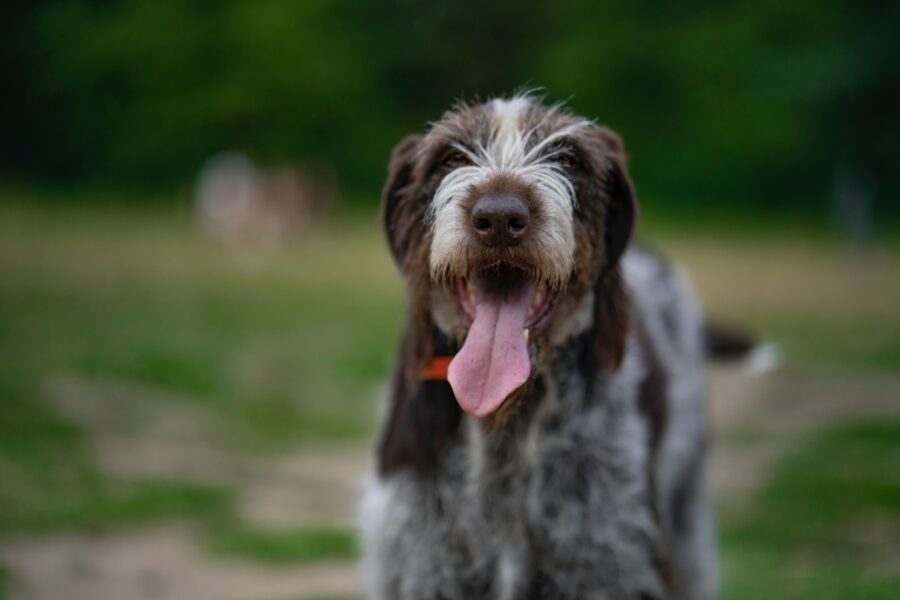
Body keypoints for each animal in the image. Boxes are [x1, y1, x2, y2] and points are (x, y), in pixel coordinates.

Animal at [360, 95, 752, 600]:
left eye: (567, 159)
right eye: (450, 158)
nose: (500, 218)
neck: (506, 426)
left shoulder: (610, 563)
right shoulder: (422, 569)